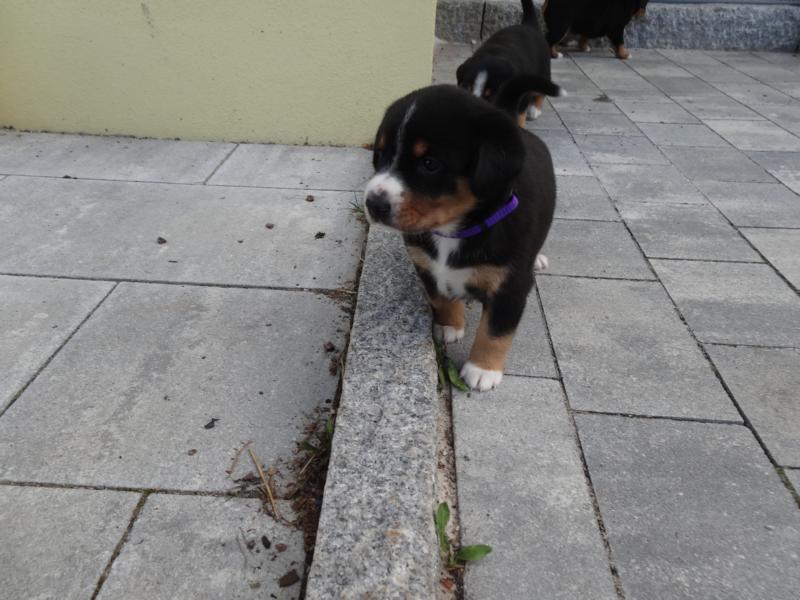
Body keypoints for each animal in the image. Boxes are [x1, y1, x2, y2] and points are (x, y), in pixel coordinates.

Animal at [363, 79, 556, 391]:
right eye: (379, 156)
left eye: (430, 163)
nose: (373, 204)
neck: (453, 232)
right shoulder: (426, 265)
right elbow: (441, 298)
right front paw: (448, 326)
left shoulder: (511, 284)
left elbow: (495, 330)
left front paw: (482, 370)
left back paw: (538, 258)